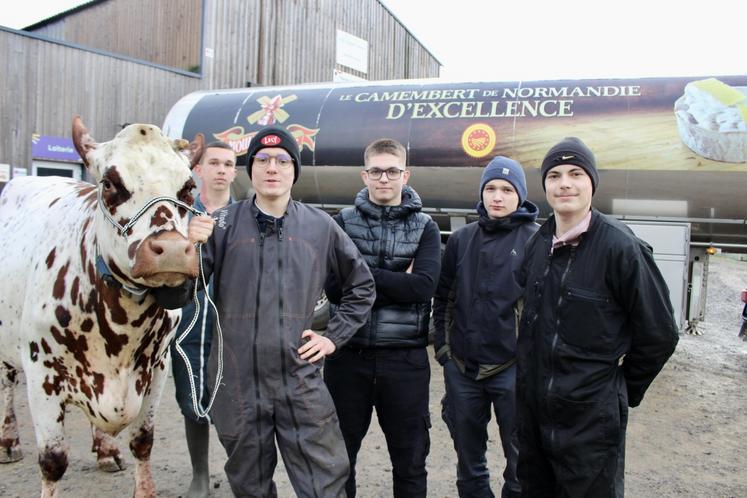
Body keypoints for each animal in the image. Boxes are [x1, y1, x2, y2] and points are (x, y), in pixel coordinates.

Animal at [0, 115, 205, 496]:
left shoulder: (156, 369)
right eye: (109, 183)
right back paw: (8, 442)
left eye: (188, 187)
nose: (171, 250)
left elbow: (143, 442)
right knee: (6, 383)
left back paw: (106, 449)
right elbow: (53, 461)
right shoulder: (41, 376)